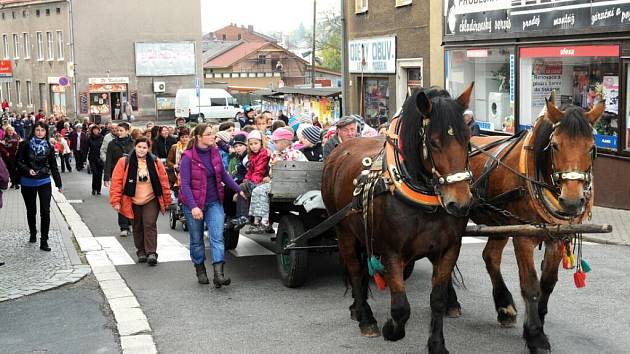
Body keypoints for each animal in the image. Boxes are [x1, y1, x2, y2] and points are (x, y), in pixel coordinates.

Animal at [326, 84, 474, 352]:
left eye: (468, 140)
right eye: (434, 143)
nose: (460, 203)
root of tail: (339, 150)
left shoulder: (448, 248)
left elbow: (437, 299)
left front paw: (437, 344)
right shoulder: (391, 251)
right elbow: (400, 307)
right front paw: (390, 329)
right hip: (343, 231)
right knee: (354, 270)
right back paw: (365, 317)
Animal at [460, 94, 608, 354]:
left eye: (592, 147)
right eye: (555, 145)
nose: (572, 201)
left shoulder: (556, 237)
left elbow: (547, 284)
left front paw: (538, 322)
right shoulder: (523, 237)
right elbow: (530, 285)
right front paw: (536, 336)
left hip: (500, 223)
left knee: (490, 256)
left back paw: (505, 307)